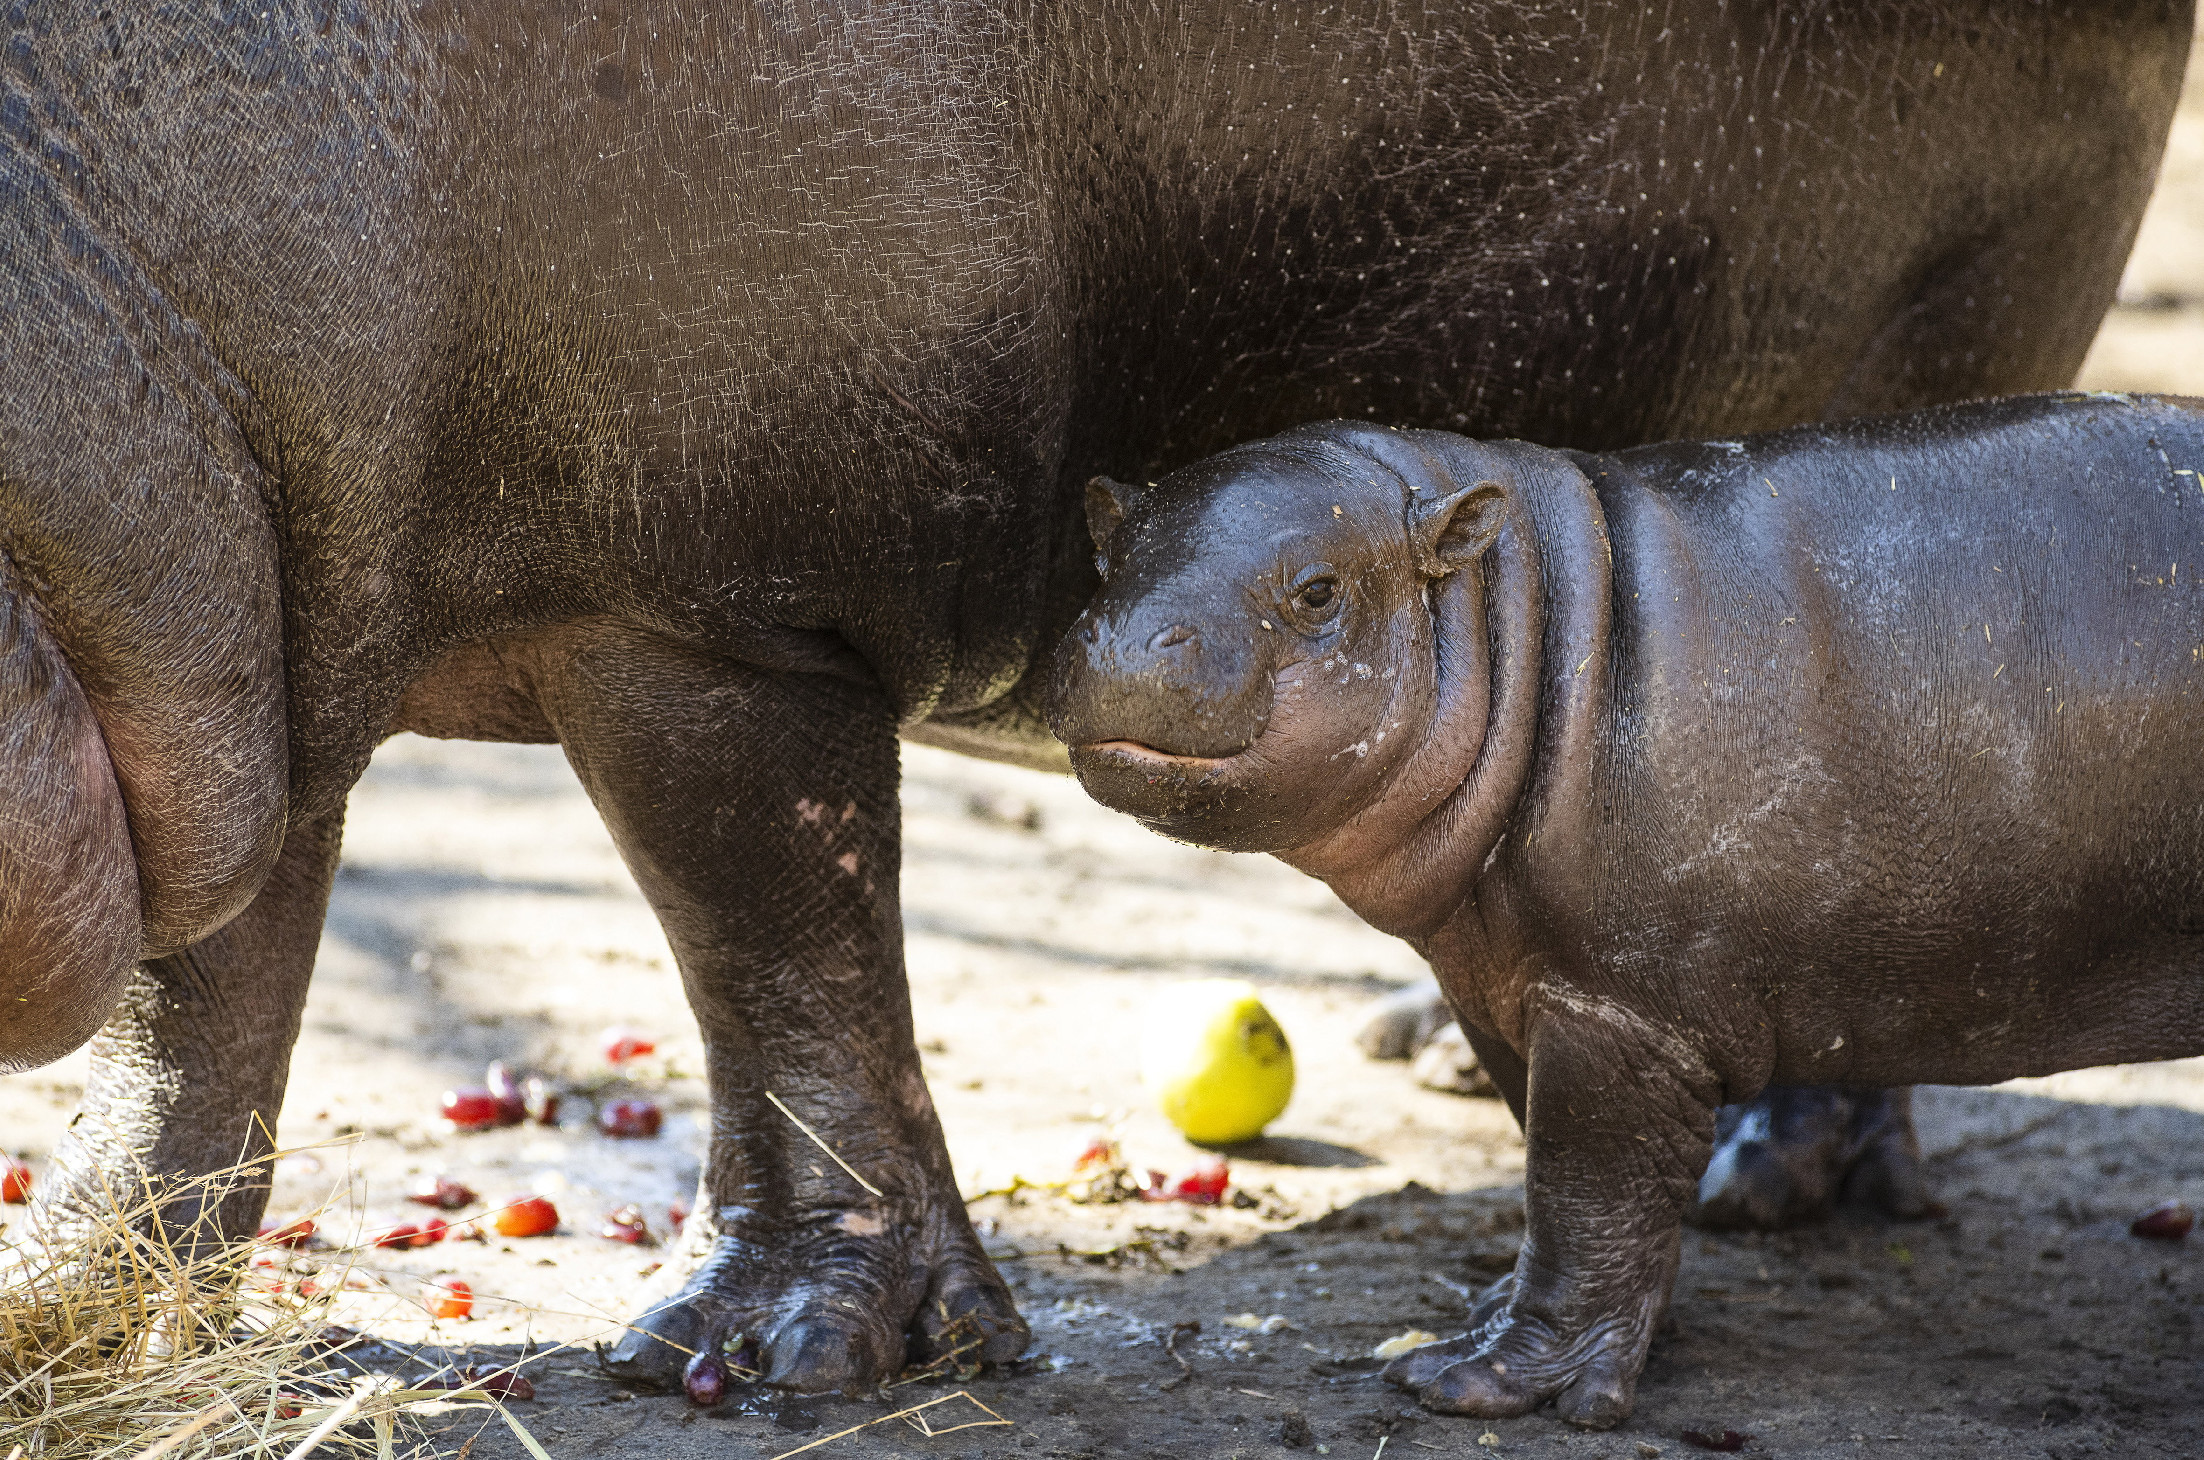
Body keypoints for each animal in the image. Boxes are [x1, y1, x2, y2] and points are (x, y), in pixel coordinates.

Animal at [1044, 392, 2204, 1429]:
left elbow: (1581, 1186)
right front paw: (1494, 1317)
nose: (1120, 642)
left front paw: (1483, 1383)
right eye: (1106, 553)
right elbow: (1571, 1186)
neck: (1526, 624)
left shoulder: (1624, 1009)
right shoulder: (1503, 981)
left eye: (1319, 590)